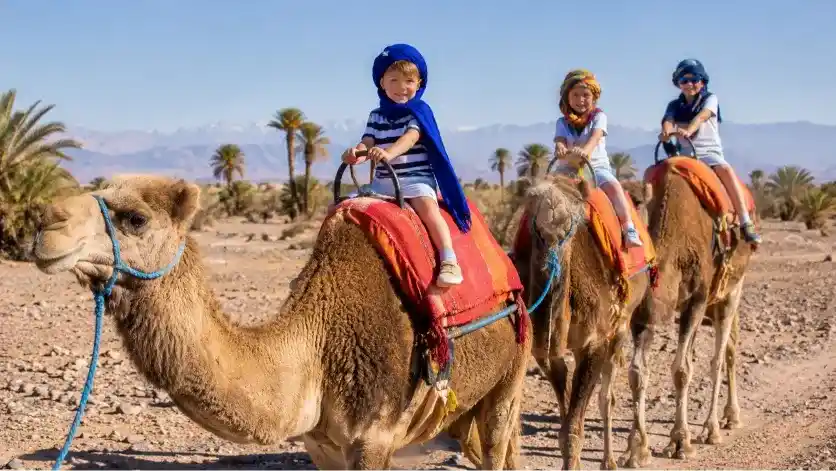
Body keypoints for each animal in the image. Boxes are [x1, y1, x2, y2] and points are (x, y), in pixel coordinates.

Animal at [30, 174, 531, 470]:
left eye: (135, 218)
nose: (46, 223)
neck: (318, 344)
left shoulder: (374, 437)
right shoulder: (320, 445)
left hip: (512, 373)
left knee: (498, 441)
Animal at [511, 172, 653, 470]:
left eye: (572, 224)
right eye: (533, 224)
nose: (552, 232)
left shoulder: (596, 342)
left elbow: (577, 422)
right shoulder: (546, 354)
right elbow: (566, 425)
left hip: (620, 325)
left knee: (610, 392)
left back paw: (616, 458)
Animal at [619, 156, 756, 467]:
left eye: (636, 203)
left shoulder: (696, 300)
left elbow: (682, 369)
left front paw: (680, 441)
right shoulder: (643, 316)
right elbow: (637, 373)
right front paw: (636, 450)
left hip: (731, 290)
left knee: (720, 355)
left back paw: (714, 427)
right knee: (728, 348)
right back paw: (729, 416)